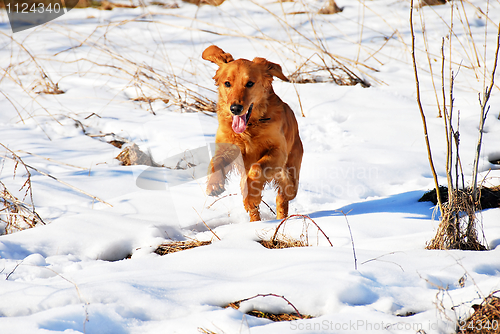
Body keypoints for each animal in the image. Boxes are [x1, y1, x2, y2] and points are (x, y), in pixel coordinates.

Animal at [202, 45, 302, 222]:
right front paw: (214, 185)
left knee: (283, 195)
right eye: (227, 83)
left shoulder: (278, 151)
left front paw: (252, 196)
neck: (249, 128)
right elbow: (216, 162)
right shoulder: (227, 148)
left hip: (291, 172)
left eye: (249, 83)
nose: (235, 108)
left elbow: (257, 168)